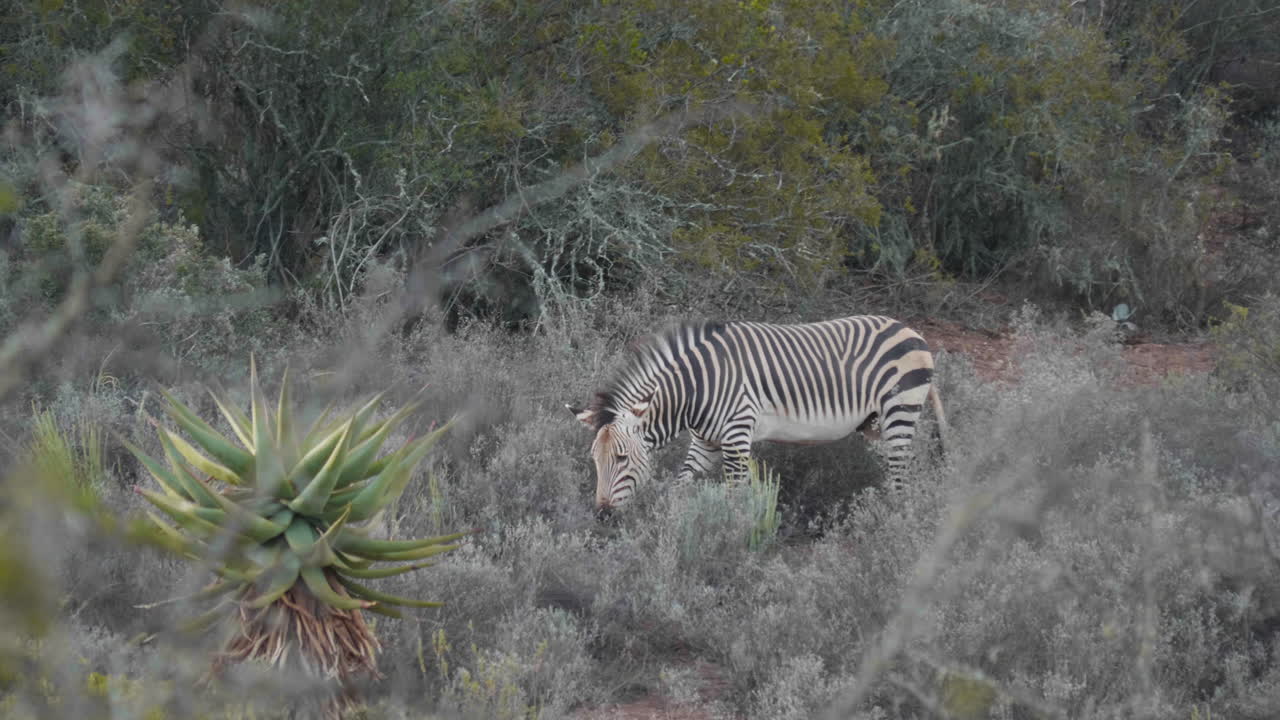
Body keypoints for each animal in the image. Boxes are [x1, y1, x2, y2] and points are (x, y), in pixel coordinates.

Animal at [567, 315, 948, 511]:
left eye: (621, 458)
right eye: (594, 460)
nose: (602, 515)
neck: (694, 391)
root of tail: (912, 331)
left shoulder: (737, 436)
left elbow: (734, 495)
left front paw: (732, 540)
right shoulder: (705, 443)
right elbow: (680, 486)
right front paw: (672, 527)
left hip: (900, 409)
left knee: (901, 476)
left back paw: (894, 522)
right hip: (877, 424)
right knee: (907, 468)